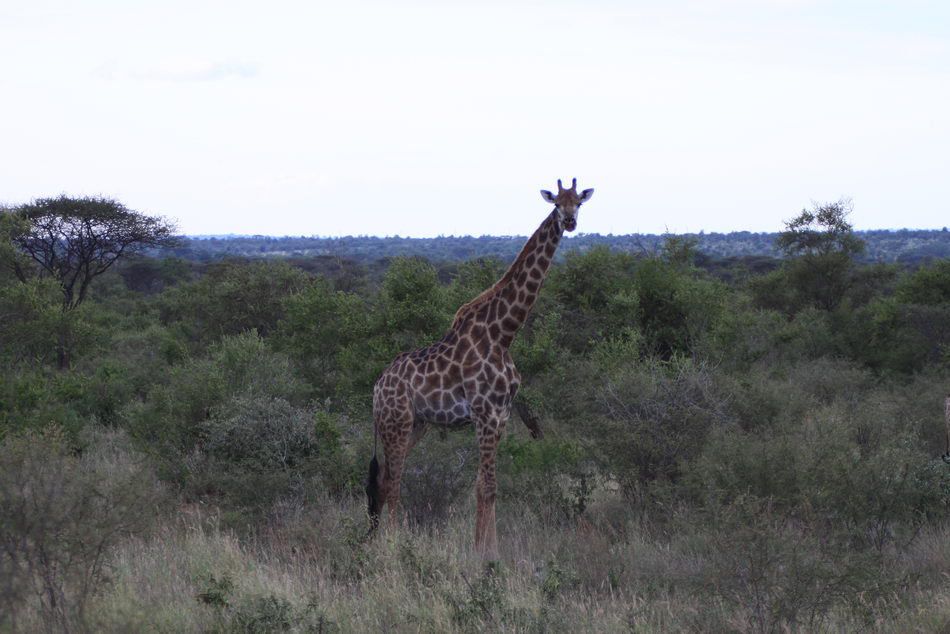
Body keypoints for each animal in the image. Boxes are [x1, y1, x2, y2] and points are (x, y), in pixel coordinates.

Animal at [366, 177, 596, 552]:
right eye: (556, 203)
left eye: (578, 201)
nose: (570, 221)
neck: (504, 334)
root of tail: (376, 388)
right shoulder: (485, 413)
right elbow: (488, 486)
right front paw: (486, 555)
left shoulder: (500, 415)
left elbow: (483, 486)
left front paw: (486, 549)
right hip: (396, 422)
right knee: (393, 480)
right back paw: (394, 545)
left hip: (416, 424)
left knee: (385, 479)